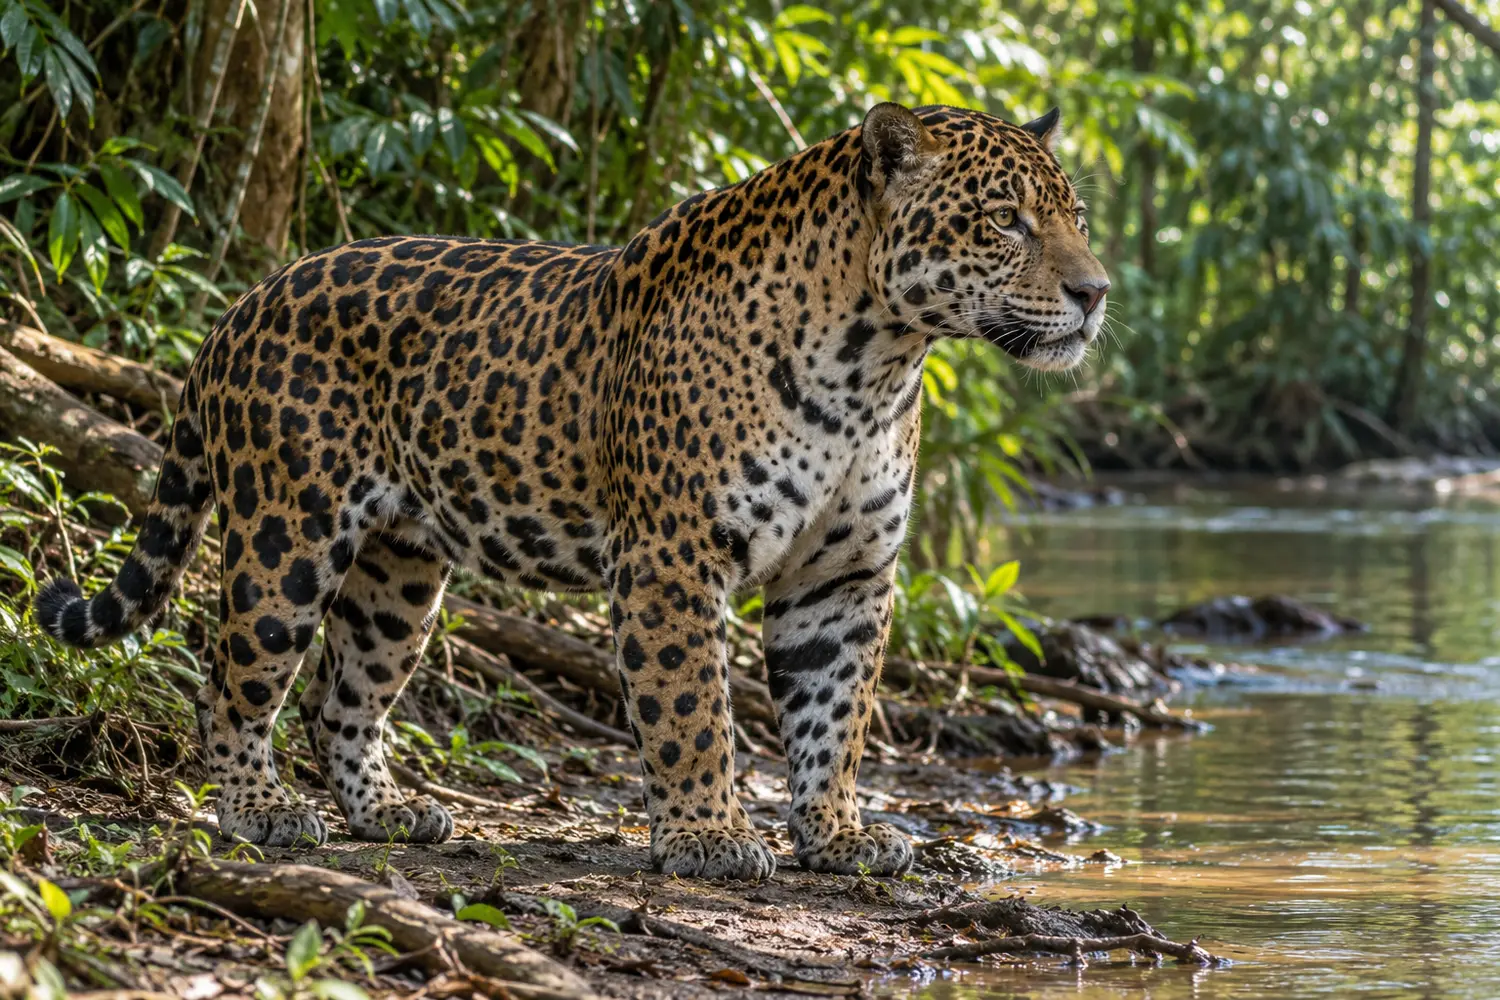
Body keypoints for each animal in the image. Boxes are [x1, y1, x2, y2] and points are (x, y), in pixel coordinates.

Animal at [34, 101, 1109, 879]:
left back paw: (389, 812)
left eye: (1078, 220)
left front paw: (839, 835)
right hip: (286, 535)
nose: (1096, 291)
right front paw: (709, 836)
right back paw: (262, 812)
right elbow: (692, 711)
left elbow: (833, 717)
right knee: (231, 682)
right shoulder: (673, 558)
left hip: (398, 569)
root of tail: (244, 303)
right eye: (1006, 220)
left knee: (341, 698)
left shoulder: (842, 576)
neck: (876, 361)